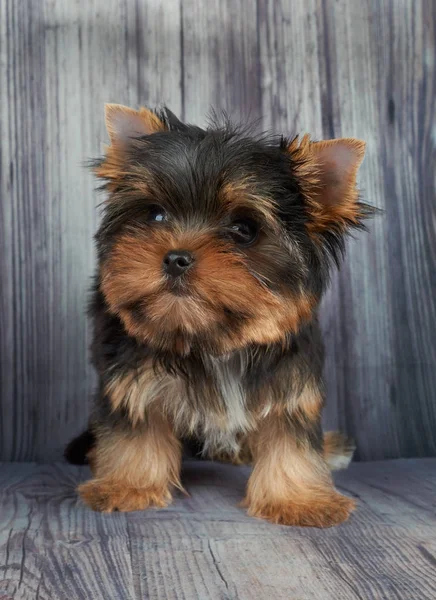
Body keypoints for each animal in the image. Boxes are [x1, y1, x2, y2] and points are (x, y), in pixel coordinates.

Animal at [65, 105, 372, 528]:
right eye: (156, 215)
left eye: (243, 229)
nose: (176, 257)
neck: (212, 340)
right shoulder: (131, 374)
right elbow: (135, 426)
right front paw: (127, 483)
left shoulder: (289, 380)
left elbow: (289, 436)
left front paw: (300, 499)